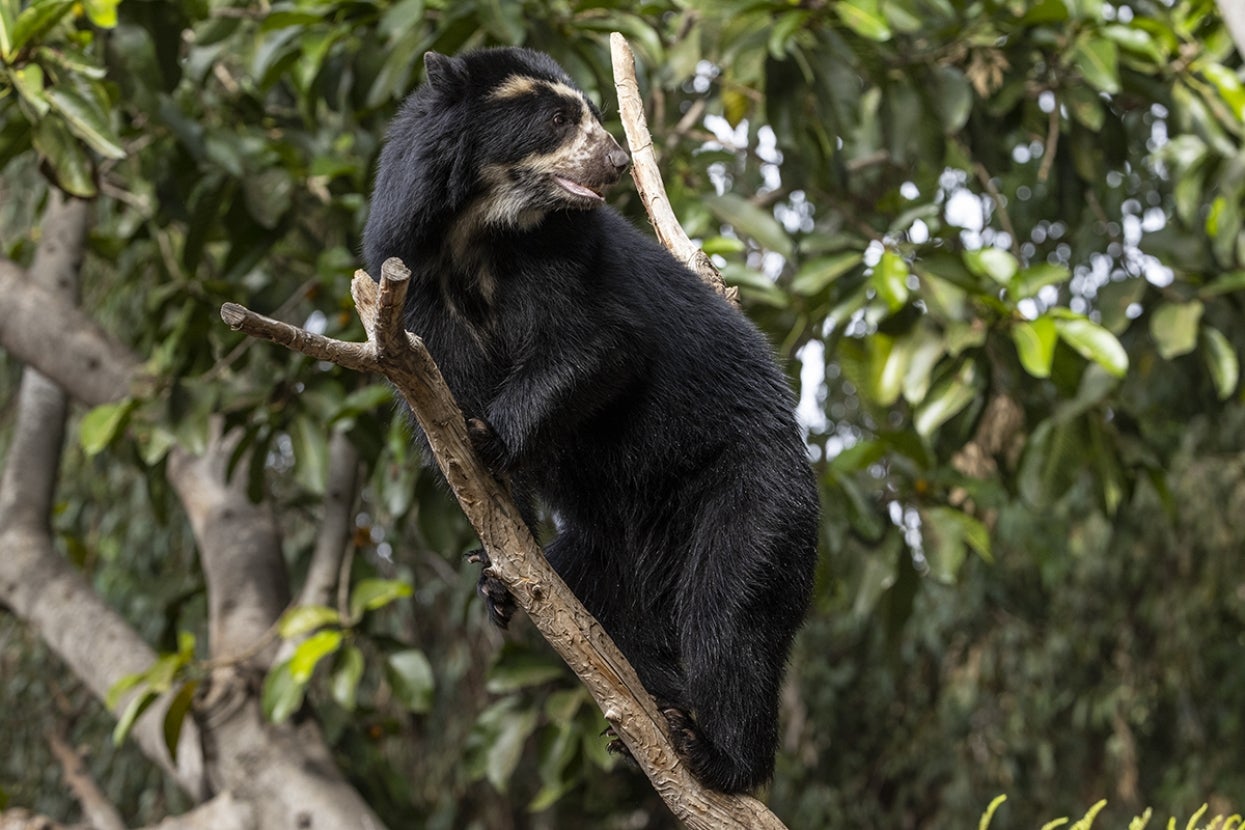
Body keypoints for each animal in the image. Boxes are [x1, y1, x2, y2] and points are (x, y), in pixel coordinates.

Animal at [362, 46, 819, 795]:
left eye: (591, 113)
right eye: (556, 118)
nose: (616, 160)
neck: (478, 230)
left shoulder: (563, 253)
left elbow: (599, 345)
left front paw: (489, 437)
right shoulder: (409, 277)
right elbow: (438, 399)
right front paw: (492, 554)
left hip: (753, 492)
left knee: (730, 615)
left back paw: (714, 754)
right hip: (609, 548)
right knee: (613, 607)